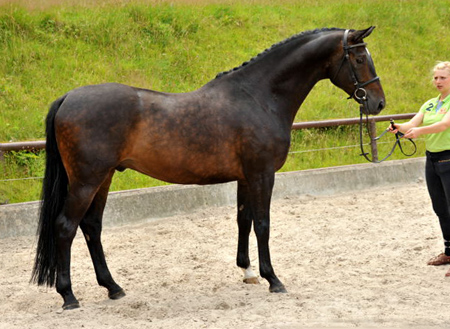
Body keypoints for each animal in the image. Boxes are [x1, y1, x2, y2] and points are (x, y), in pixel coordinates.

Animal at [31, 26, 384, 308]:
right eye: (358, 59)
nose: (378, 103)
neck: (258, 98)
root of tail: (67, 97)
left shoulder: (246, 177)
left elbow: (244, 220)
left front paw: (248, 272)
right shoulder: (262, 174)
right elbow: (263, 224)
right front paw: (273, 279)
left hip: (102, 179)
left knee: (92, 227)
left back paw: (113, 288)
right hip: (86, 182)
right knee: (65, 227)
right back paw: (69, 296)